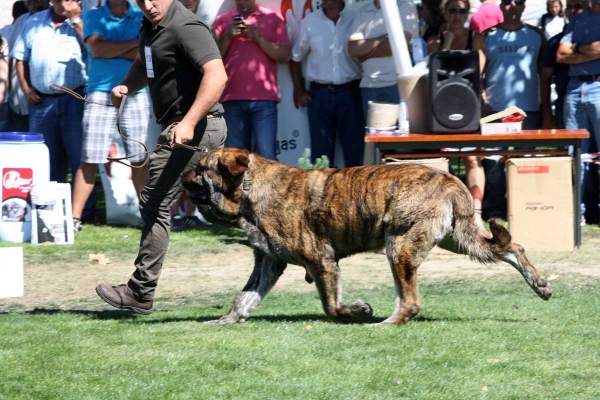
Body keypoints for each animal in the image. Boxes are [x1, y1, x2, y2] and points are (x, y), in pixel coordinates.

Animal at [184, 148, 552, 324]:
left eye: (201, 169)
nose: (183, 177)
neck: (250, 191)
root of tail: (449, 178)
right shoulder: (269, 262)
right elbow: (243, 298)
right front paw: (224, 320)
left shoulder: (321, 260)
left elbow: (331, 305)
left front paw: (358, 310)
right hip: (458, 237)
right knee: (512, 247)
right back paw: (540, 284)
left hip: (400, 246)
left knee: (410, 301)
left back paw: (384, 323)